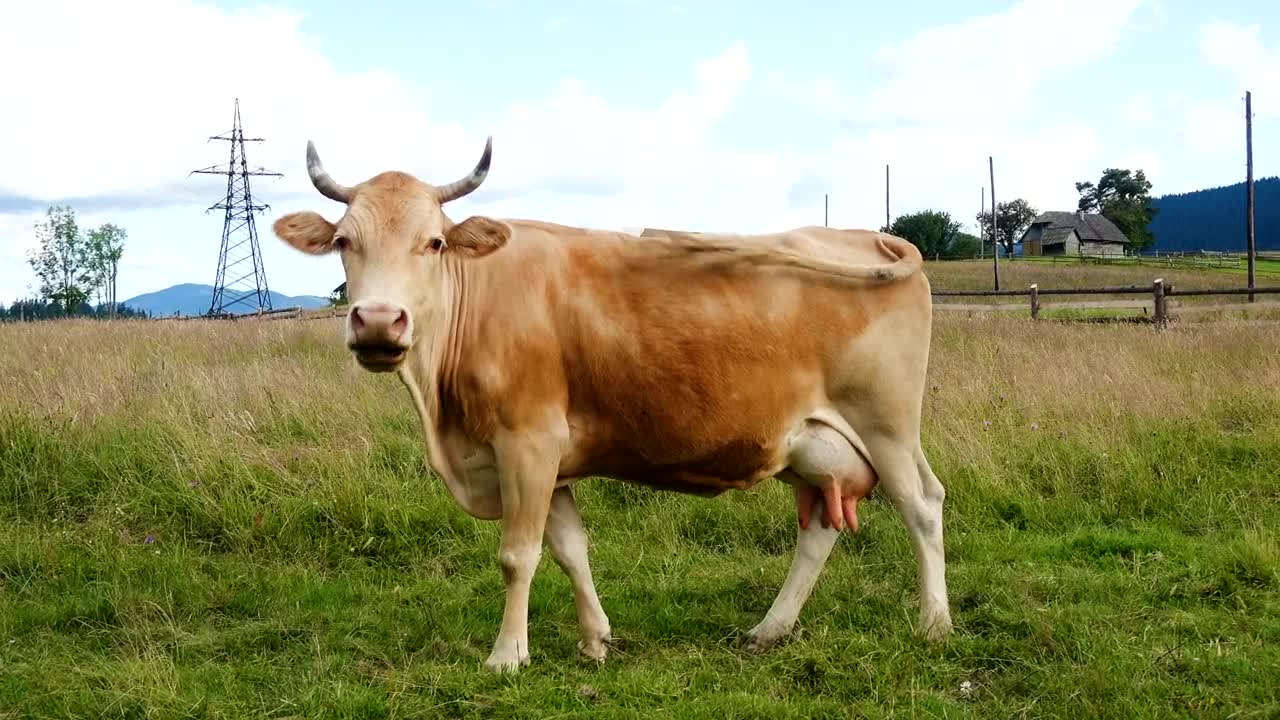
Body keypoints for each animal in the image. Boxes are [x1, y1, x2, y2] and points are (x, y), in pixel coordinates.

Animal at [271, 136, 952, 673]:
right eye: (343, 241)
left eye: (434, 242)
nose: (377, 321)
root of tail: (867, 236)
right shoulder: (549, 460)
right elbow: (570, 548)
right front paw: (595, 640)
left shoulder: (527, 441)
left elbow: (518, 555)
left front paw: (506, 655)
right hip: (814, 445)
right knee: (818, 530)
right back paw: (769, 630)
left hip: (887, 425)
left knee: (923, 505)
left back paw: (934, 623)